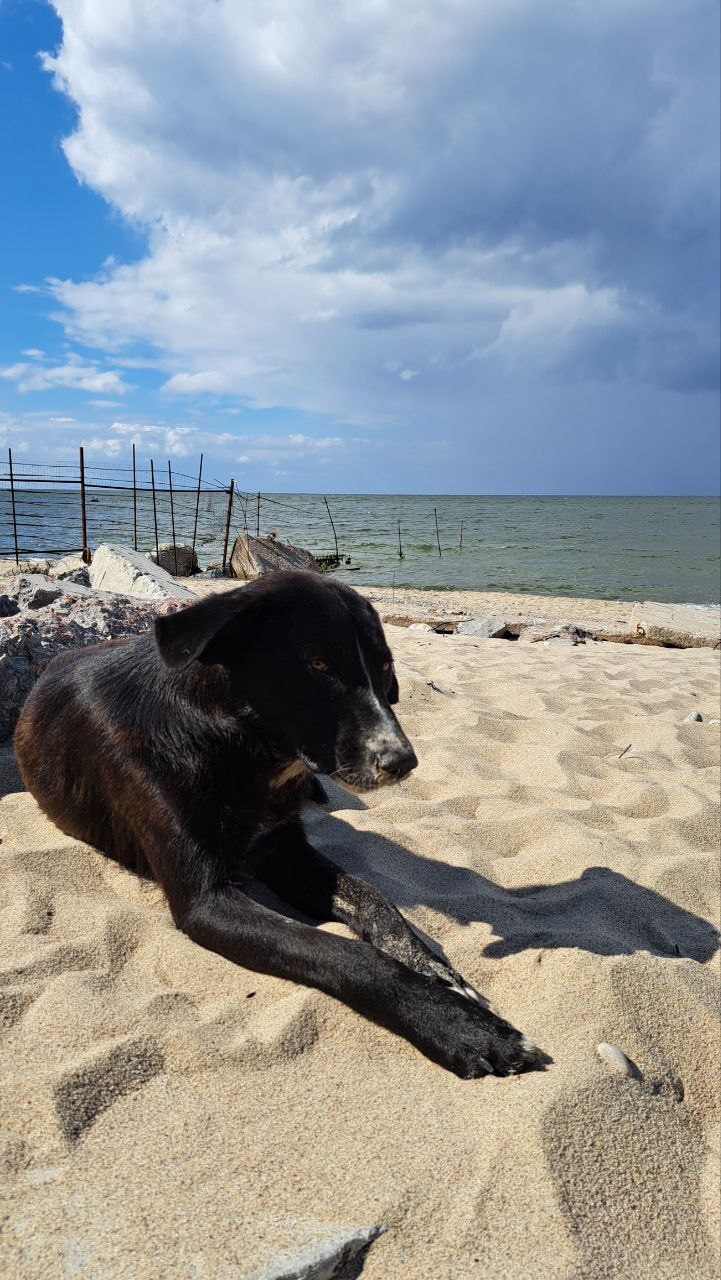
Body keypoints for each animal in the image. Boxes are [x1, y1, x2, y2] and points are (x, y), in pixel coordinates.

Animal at [14, 576, 548, 1075]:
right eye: (318, 666)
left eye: (385, 667)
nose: (403, 762)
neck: (232, 744)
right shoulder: (206, 902)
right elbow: (344, 953)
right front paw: (463, 1029)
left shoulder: (285, 851)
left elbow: (376, 900)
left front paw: (442, 977)